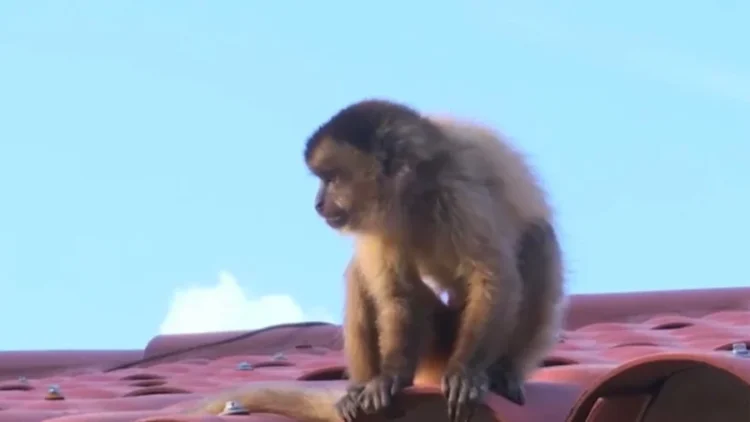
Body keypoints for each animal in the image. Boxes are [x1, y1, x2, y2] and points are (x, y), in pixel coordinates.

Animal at [182, 99, 565, 422]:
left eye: (332, 179)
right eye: (322, 181)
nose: (318, 203)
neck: (416, 192)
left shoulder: (459, 192)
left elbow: (491, 277)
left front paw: (466, 372)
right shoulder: (381, 223)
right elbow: (398, 294)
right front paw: (389, 377)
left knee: (538, 239)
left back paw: (503, 372)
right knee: (361, 275)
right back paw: (362, 388)